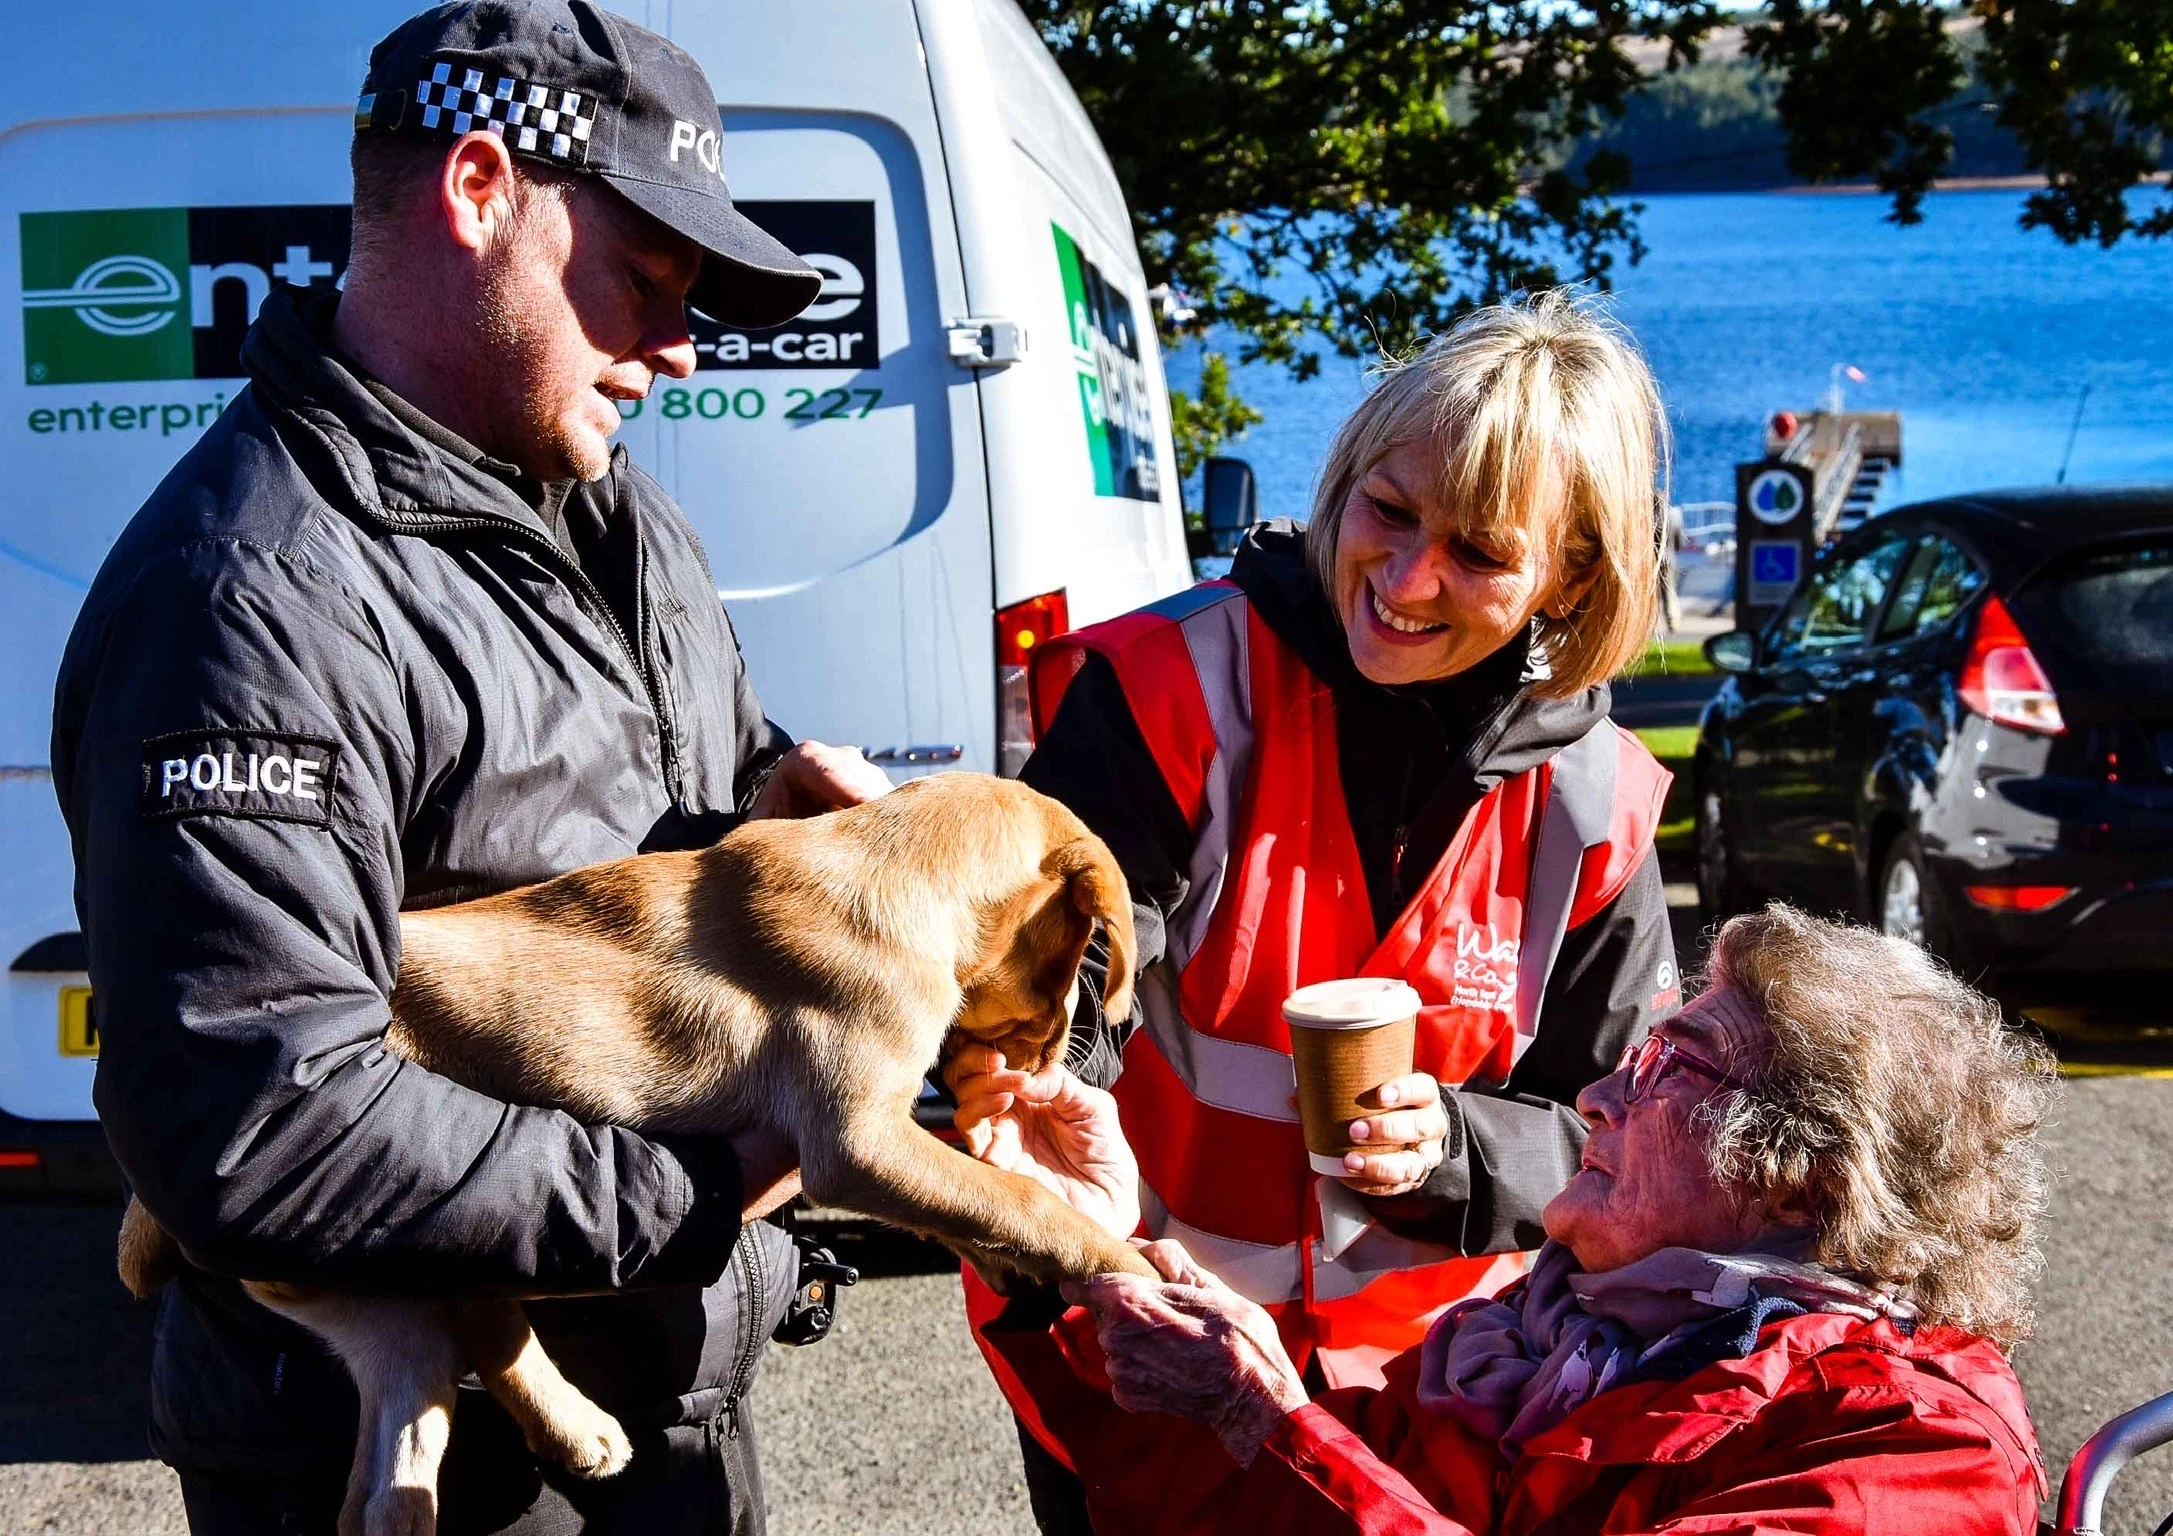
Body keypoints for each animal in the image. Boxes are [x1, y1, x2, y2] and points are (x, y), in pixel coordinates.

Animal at [114, 773, 1156, 1536]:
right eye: (1082, 954)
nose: (1057, 1055)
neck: (892, 858)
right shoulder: (858, 1140)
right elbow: (1012, 1196)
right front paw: (1121, 1262)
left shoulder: (886, 1145)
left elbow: (975, 1198)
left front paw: (1016, 1263)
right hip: (438, 1200)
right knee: (480, 1322)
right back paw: (577, 1429)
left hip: (387, 1304)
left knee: (398, 1455)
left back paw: (561, 1436)